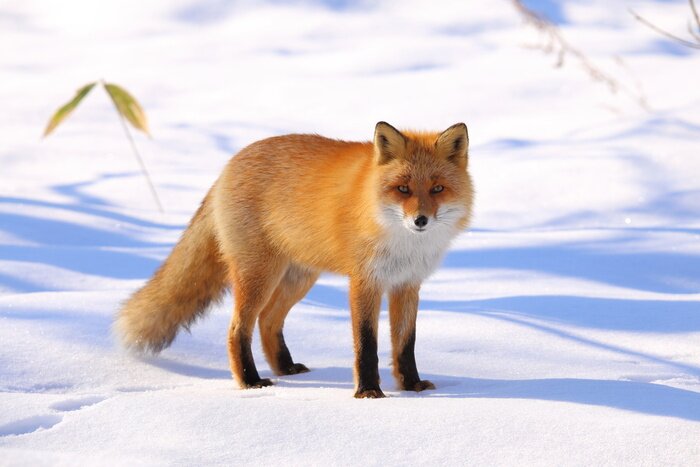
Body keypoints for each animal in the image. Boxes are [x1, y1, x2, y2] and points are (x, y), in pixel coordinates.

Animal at [116, 121, 474, 398]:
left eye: (437, 189)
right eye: (402, 189)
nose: (420, 220)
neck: (403, 243)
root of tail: (229, 164)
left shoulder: (407, 284)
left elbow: (405, 344)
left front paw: (411, 385)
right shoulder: (364, 282)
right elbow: (366, 344)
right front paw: (368, 391)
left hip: (298, 278)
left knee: (268, 320)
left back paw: (285, 367)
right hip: (259, 275)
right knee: (238, 329)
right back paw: (250, 381)